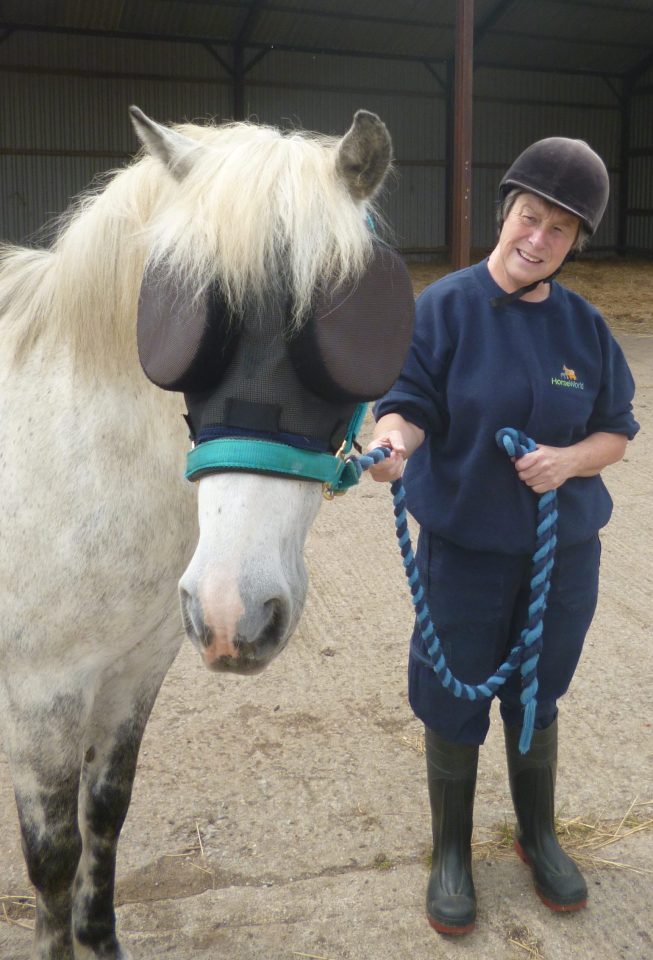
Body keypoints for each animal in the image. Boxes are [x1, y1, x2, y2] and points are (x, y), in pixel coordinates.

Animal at [0, 107, 388, 960]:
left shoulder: (136, 670)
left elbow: (106, 816)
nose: (230, 612)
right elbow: (53, 858)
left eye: (341, 334)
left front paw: (101, 941)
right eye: (181, 327)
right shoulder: (42, 696)